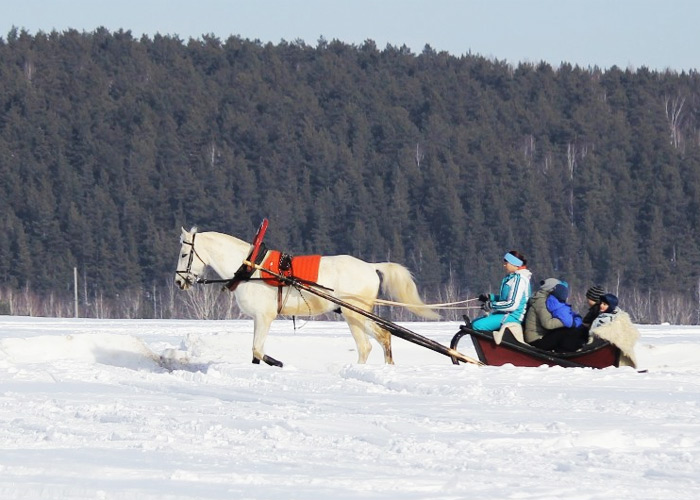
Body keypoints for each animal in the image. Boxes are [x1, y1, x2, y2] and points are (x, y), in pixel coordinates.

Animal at [175, 229, 438, 366]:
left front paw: (278, 363)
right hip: (357, 314)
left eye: (185, 253)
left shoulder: (264, 317)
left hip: (353, 314)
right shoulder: (258, 319)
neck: (251, 268)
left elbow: (258, 350)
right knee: (384, 337)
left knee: (366, 346)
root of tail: (371, 266)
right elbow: (255, 353)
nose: (179, 281)